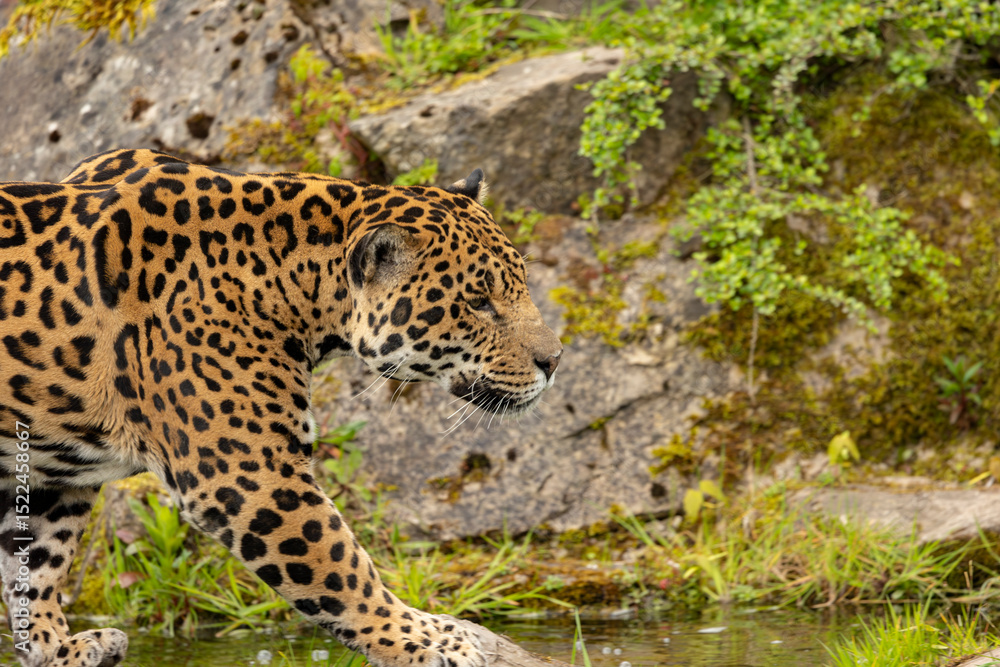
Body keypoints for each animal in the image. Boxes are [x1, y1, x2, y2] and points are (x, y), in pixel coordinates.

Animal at [0, 148, 562, 667]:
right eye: (479, 303)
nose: (555, 360)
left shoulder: (53, 475)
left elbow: (35, 563)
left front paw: (56, 649)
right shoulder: (249, 476)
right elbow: (344, 571)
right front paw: (427, 641)